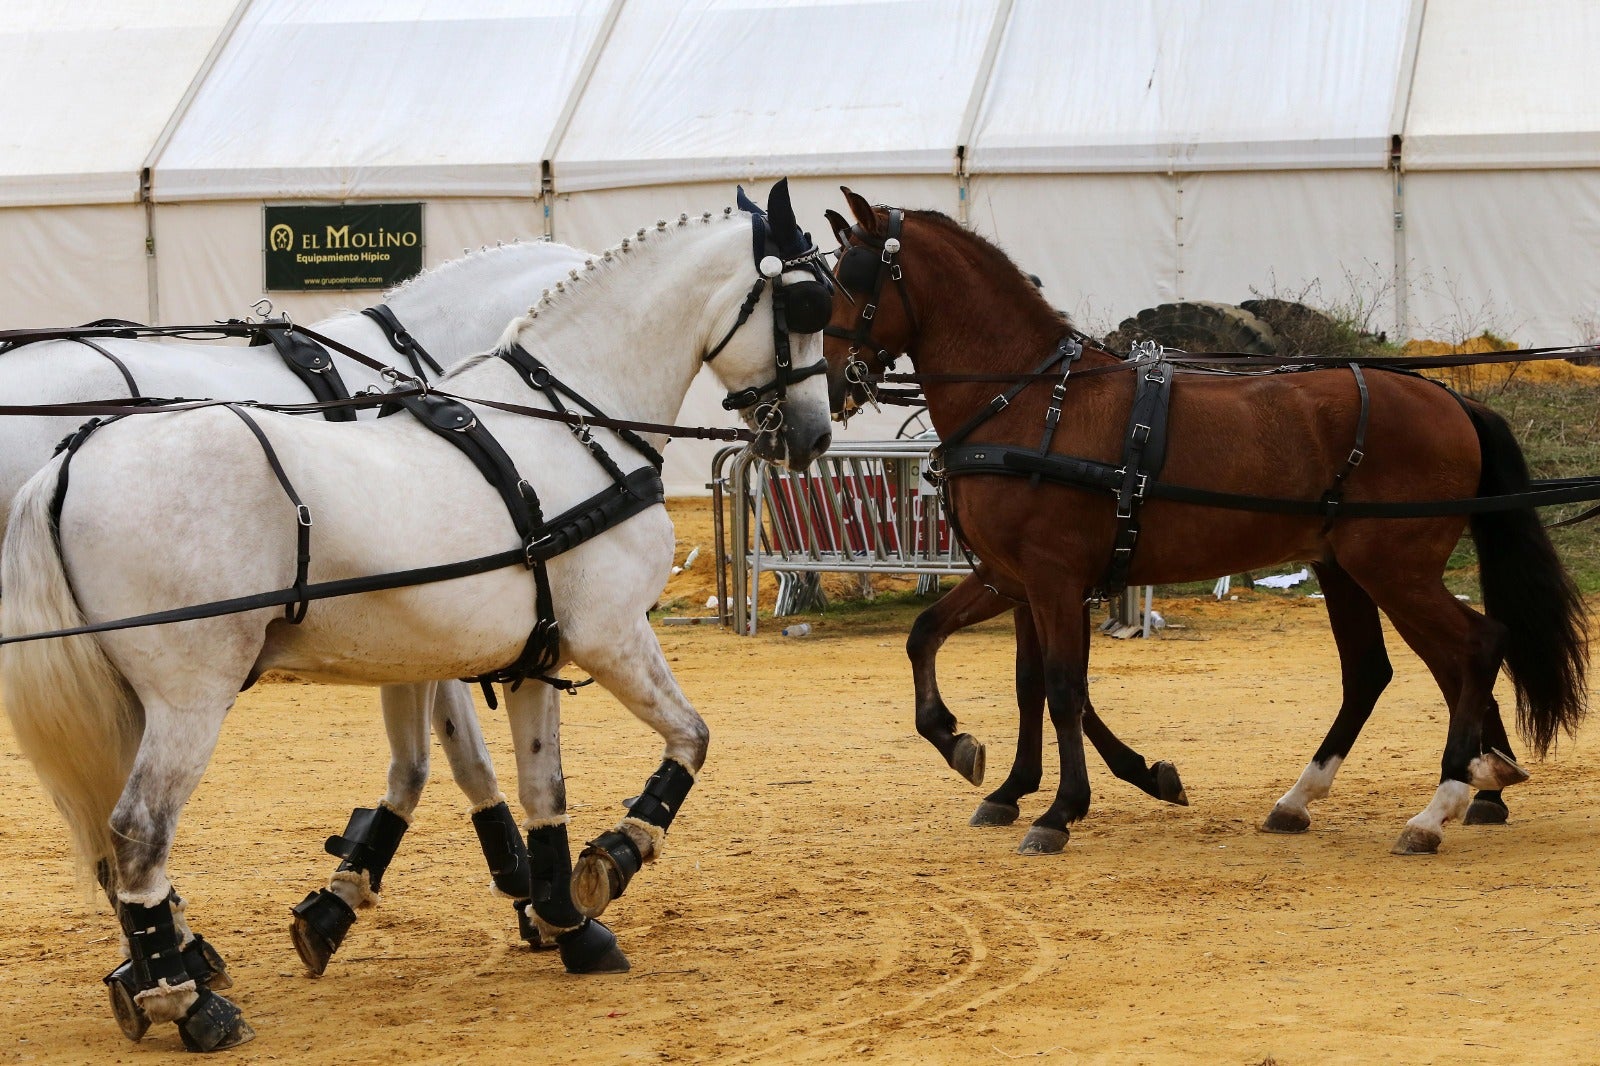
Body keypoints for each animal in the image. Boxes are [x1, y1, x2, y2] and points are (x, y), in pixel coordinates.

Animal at [825, 188, 1587, 857]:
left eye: (854, 278)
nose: (835, 384)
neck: (1033, 401)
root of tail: (1450, 400)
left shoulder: (1051, 578)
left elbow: (1064, 688)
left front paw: (1060, 810)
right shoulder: (1010, 578)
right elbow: (955, 650)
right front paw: (981, 760)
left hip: (1394, 566)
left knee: (1476, 647)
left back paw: (1441, 805)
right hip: (1351, 567)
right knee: (1384, 670)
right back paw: (1336, 795)